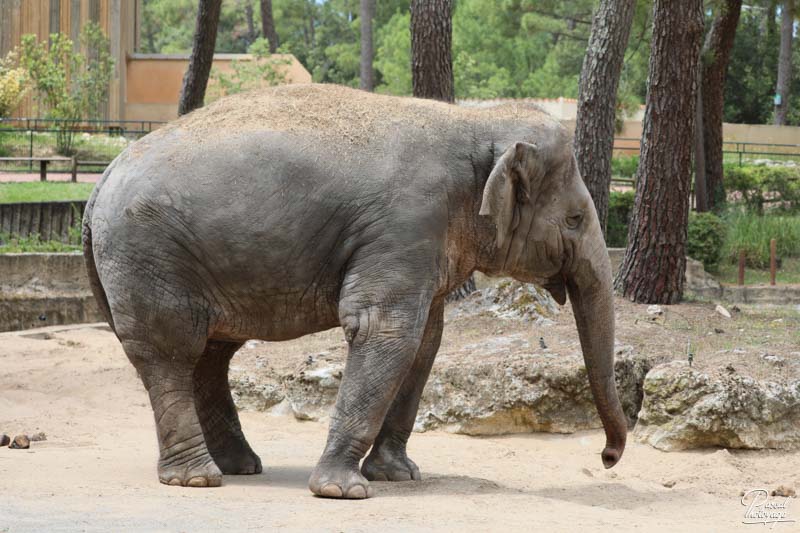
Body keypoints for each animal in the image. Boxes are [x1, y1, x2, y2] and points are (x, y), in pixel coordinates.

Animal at [86, 83, 624, 498]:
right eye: (575, 219)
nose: (607, 458)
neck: (476, 122)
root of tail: (99, 183)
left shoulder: (424, 241)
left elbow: (425, 341)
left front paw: (398, 476)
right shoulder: (405, 225)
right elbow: (385, 332)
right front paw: (341, 490)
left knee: (211, 354)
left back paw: (239, 467)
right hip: (150, 256)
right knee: (173, 352)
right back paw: (196, 479)